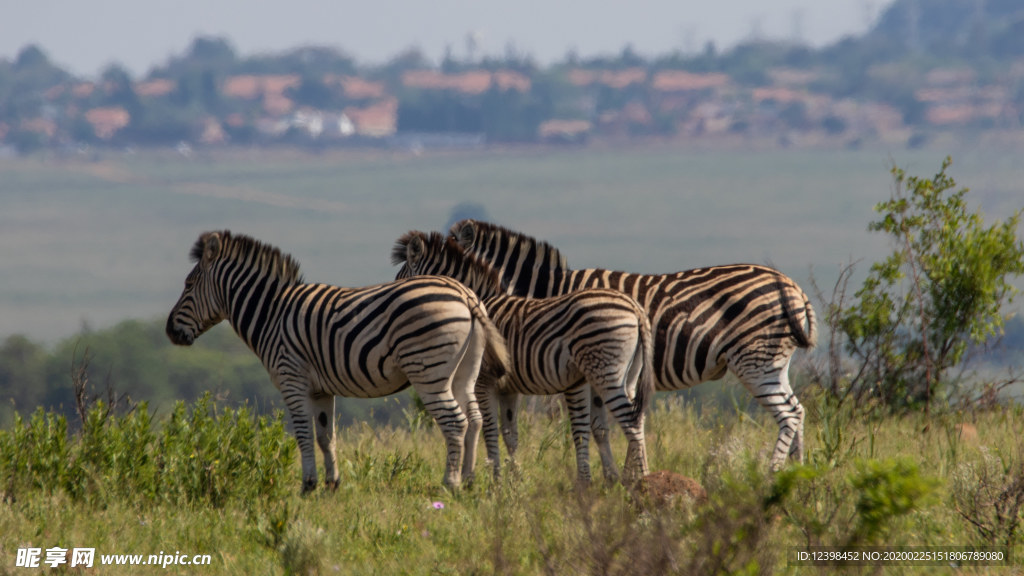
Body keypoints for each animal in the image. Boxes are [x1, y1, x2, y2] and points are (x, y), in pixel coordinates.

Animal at [166, 228, 512, 487]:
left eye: (188, 285)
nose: (170, 331)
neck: (272, 313)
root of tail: (465, 294)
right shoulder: (321, 389)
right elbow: (325, 436)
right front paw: (332, 483)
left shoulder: (292, 380)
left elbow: (304, 434)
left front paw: (308, 485)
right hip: (464, 372)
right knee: (475, 419)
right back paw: (468, 480)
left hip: (428, 371)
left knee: (455, 422)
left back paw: (449, 483)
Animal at [387, 230, 651, 481]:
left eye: (400, 282)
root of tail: (635, 308)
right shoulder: (508, 388)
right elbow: (510, 435)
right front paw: (514, 479)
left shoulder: (484, 381)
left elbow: (490, 429)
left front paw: (495, 480)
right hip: (628, 377)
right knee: (638, 418)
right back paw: (635, 478)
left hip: (606, 372)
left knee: (631, 422)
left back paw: (643, 481)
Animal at [448, 219, 815, 471]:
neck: (550, 292)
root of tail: (789, 286)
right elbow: (605, 428)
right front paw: (623, 475)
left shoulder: (587, 370)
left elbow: (597, 427)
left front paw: (624, 476)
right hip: (774, 363)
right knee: (797, 410)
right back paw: (797, 472)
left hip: (754, 361)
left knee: (788, 414)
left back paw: (772, 472)